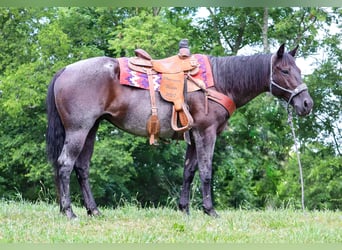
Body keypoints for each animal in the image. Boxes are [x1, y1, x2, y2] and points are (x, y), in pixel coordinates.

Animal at [46, 44, 314, 218]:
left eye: (299, 70)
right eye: (285, 71)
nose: (307, 104)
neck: (219, 81)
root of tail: (65, 70)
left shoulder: (193, 136)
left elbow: (188, 171)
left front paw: (184, 208)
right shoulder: (206, 133)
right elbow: (206, 172)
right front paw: (210, 210)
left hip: (91, 130)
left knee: (82, 168)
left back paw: (93, 210)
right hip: (79, 130)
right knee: (65, 165)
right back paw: (69, 211)